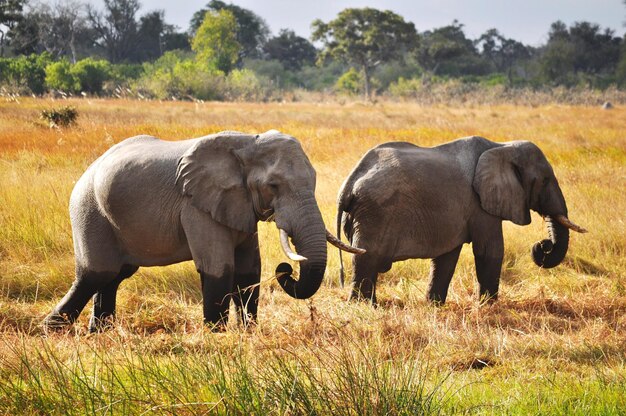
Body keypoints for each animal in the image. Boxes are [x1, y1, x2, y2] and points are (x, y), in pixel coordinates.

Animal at [44, 130, 360, 332]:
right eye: (273, 186)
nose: (285, 268)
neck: (248, 143)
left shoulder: (238, 204)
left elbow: (248, 271)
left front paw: (248, 331)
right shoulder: (196, 207)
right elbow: (219, 268)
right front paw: (216, 335)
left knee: (116, 275)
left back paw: (100, 332)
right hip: (89, 211)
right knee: (96, 273)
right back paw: (53, 328)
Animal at [336, 138, 584, 304]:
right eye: (545, 180)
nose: (542, 245)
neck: (502, 147)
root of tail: (350, 180)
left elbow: (446, 257)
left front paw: (434, 305)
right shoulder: (480, 204)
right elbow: (490, 251)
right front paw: (488, 305)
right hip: (375, 212)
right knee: (367, 257)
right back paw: (364, 306)